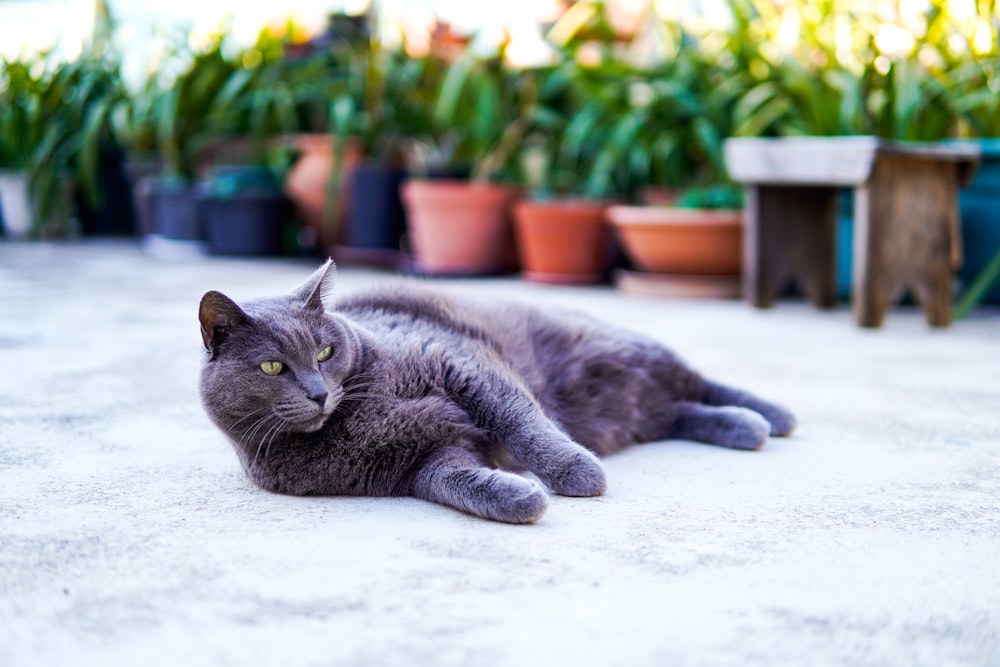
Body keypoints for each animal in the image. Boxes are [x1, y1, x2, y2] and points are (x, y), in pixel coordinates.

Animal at [201, 264, 796, 524]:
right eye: (273, 366)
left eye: (324, 352)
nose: (320, 393)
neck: (357, 413)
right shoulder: (417, 464)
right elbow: (457, 483)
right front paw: (520, 497)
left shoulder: (460, 362)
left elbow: (523, 424)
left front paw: (579, 476)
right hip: (640, 403)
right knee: (678, 410)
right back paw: (745, 426)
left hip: (626, 349)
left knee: (697, 380)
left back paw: (774, 415)